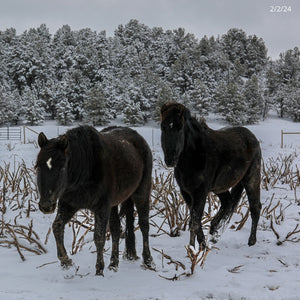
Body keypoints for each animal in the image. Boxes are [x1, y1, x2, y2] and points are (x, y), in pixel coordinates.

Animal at [36, 125, 154, 276]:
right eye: (38, 166)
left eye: (62, 168)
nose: (46, 206)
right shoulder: (69, 204)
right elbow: (57, 227)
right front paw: (66, 261)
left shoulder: (101, 207)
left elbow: (99, 237)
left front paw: (99, 271)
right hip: (115, 204)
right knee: (116, 229)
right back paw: (114, 264)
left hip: (141, 193)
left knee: (144, 225)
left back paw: (148, 261)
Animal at [161, 103, 262, 248]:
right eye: (163, 127)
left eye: (179, 127)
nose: (170, 159)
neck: (194, 156)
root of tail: (252, 137)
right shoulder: (186, 192)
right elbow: (195, 221)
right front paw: (201, 245)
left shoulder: (200, 192)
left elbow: (194, 222)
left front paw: (193, 249)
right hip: (220, 187)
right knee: (228, 203)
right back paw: (214, 231)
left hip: (252, 179)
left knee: (255, 208)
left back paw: (251, 241)